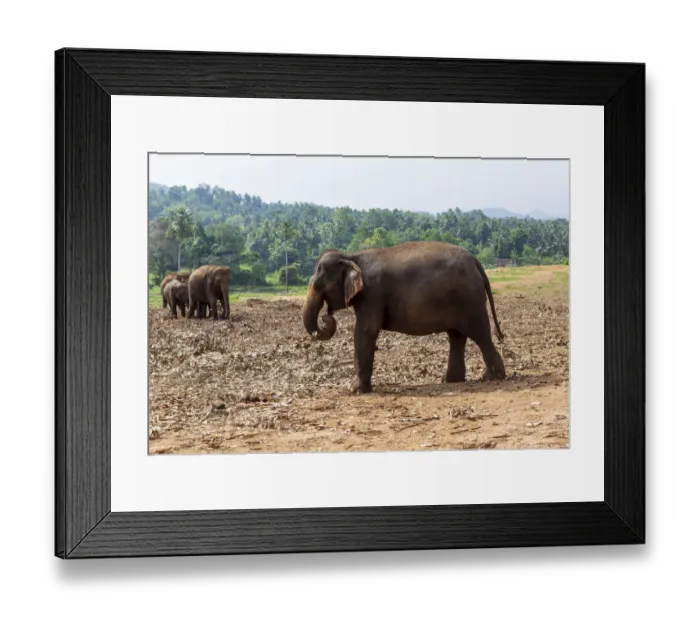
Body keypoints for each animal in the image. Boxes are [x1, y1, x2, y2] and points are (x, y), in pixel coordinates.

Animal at [302, 241, 506, 394]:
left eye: (320, 286)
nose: (326, 317)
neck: (352, 256)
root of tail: (476, 261)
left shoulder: (373, 295)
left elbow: (366, 331)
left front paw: (355, 390)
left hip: (470, 300)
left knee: (480, 335)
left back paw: (492, 377)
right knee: (456, 336)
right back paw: (451, 380)